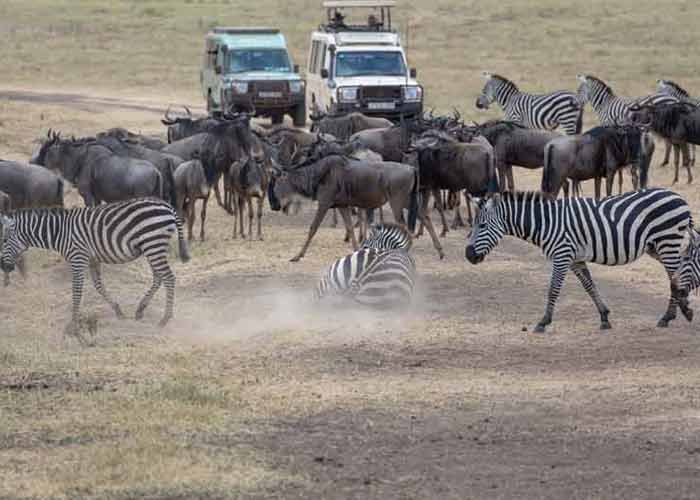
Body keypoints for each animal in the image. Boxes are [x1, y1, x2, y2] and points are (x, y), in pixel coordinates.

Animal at [0, 198, 191, 340]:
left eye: (3, 240)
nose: (3, 266)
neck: (59, 232)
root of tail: (167, 206)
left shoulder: (78, 258)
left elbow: (77, 291)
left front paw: (73, 327)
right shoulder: (92, 259)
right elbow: (99, 286)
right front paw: (118, 311)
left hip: (153, 244)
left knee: (168, 277)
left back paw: (164, 320)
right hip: (152, 247)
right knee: (159, 277)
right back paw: (140, 309)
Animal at [464, 189, 696, 334]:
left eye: (482, 226)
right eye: (473, 225)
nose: (468, 255)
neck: (545, 223)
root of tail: (678, 196)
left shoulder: (562, 255)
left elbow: (553, 290)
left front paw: (543, 322)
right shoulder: (575, 259)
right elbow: (589, 286)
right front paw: (604, 317)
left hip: (667, 241)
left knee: (676, 276)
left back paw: (670, 315)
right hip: (656, 246)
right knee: (676, 274)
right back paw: (681, 310)